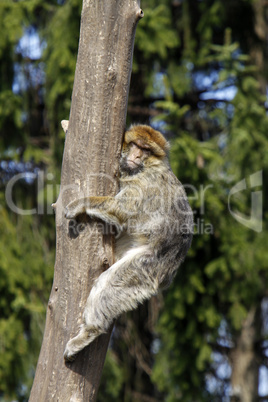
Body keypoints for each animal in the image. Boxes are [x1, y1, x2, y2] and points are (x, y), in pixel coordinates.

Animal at [62, 125, 193, 362]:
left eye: (146, 150)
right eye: (135, 145)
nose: (137, 155)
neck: (143, 168)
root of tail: (170, 273)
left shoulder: (146, 183)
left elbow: (122, 210)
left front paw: (81, 204)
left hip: (148, 265)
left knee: (110, 284)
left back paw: (89, 331)